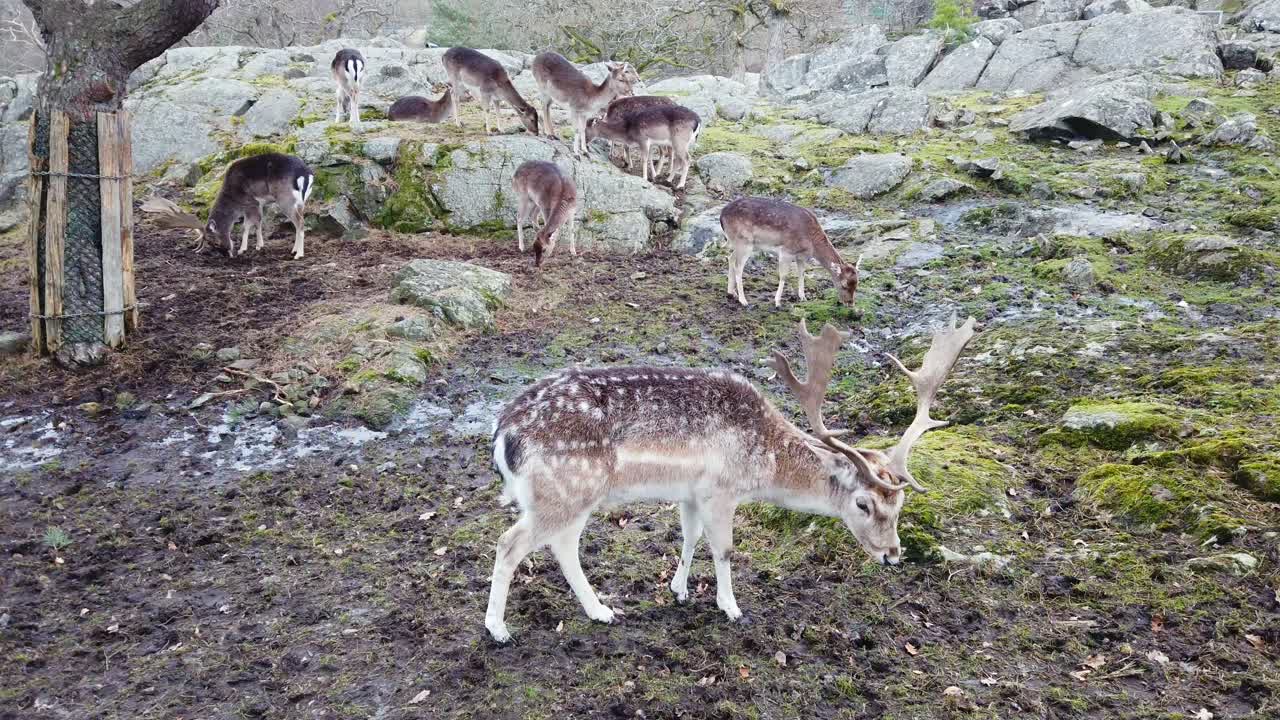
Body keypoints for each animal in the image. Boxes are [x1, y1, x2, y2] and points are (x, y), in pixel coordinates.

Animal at [141, 153, 315, 260]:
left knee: (300, 222)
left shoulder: (250, 202)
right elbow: (257, 223)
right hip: (301, 201)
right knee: (299, 222)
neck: (233, 197)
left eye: (214, 242)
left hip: (285, 199)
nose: (228, 254)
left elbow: (247, 225)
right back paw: (294, 249)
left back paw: (299, 254)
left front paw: (243, 248)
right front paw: (259, 246)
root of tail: (306, 174)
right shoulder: (257, 204)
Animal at [484, 313, 978, 642]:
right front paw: (731, 606)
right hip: (565, 490)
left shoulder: (691, 493)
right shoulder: (721, 491)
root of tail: (503, 433)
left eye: (899, 505)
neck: (764, 464)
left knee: (562, 546)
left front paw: (680, 590)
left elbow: (688, 536)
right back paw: (498, 629)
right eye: (864, 503)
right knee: (511, 543)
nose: (893, 554)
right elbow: (723, 549)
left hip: (573, 497)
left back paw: (600, 611)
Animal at [720, 197, 862, 309]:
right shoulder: (786, 251)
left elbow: (801, 274)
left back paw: (731, 292)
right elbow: (783, 275)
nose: (850, 303)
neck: (811, 242)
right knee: (738, 266)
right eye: (844, 285)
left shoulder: (801, 257)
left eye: (856, 284)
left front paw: (803, 297)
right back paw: (743, 301)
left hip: (738, 243)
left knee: (730, 258)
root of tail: (721, 215)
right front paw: (777, 302)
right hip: (745, 243)